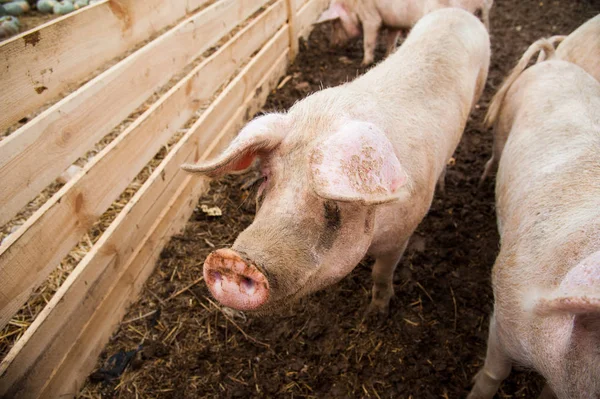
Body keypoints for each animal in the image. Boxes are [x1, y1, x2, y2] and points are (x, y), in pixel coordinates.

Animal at [180, 7, 490, 316]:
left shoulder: (403, 232)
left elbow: (381, 272)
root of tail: (457, 12)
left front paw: (376, 313)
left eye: (331, 199)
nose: (232, 260)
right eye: (267, 176)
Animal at [314, 0, 492, 65]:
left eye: (335, 24)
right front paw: (387, 56)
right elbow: (391, 39)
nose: (331, 46)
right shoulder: (393, 23)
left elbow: (369, 41)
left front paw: (364, 63)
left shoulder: (371, 18)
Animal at [468, 39, 600, 396]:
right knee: (495, 153)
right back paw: (484, 180)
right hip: (504, 122)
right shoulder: (506, 313)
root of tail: (553, 61)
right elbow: (495, 371)